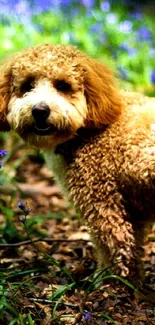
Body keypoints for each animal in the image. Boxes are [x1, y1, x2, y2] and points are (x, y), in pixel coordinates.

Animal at [0, 44, 155, 282]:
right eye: (27, 85)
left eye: (62, 86)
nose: (40, 110)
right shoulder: (133, 209)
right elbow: (133, 252)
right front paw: (133, 282)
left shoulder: (102, 204)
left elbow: (114, 249)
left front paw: (107, 282)